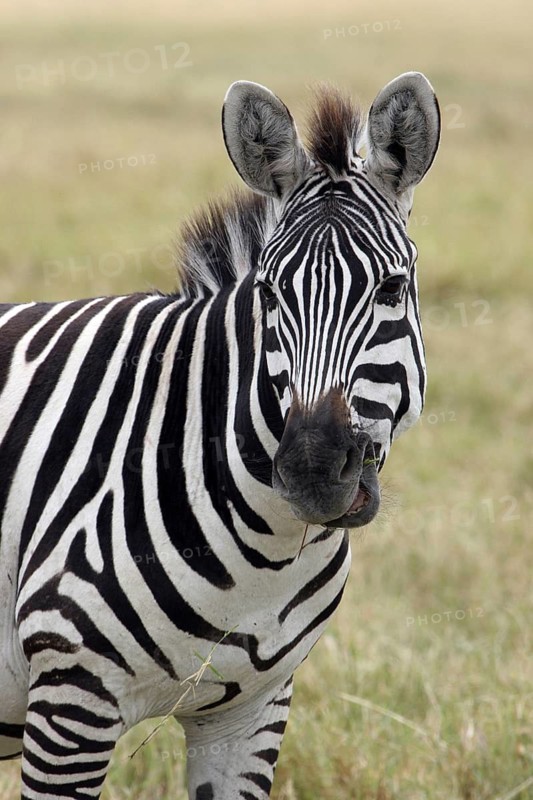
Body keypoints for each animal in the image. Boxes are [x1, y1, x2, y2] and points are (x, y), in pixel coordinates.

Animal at [0, 72, 440, 799]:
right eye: (268, 295)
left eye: (392, 288)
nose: (312, 471)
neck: (269, 553)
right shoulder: (71, 698)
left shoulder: (250, 713)